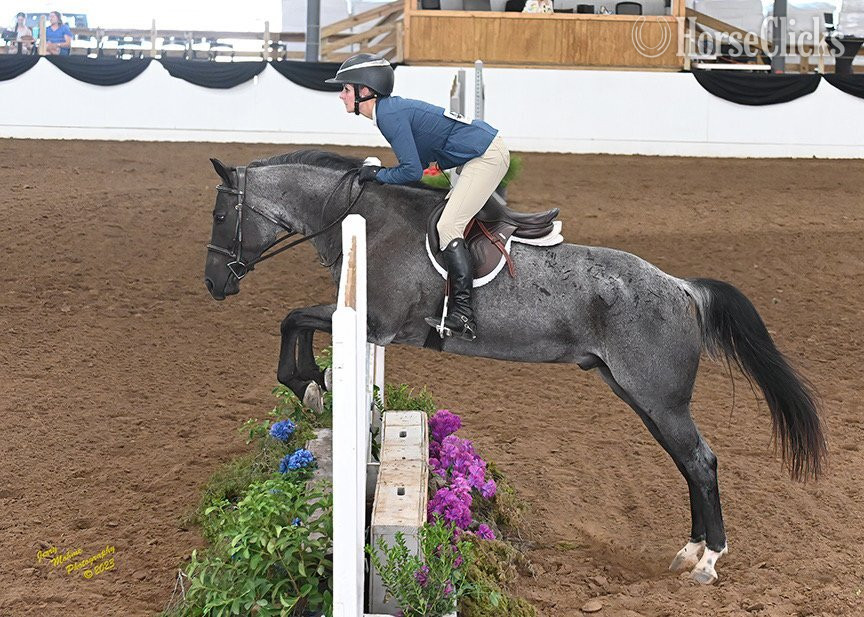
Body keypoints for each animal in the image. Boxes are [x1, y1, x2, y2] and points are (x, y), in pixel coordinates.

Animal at [203, 150, 826, 585]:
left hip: (660, 398)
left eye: (220, 214)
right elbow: (297, 320)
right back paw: (689, 551)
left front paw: (307, 383)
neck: (363, 218)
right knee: (688, 463)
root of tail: (682, 288)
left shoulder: (375, 322)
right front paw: (312, 384)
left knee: (700, 461)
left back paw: (709, 562)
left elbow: (294, 318)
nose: (214, 285)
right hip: (641, 396)